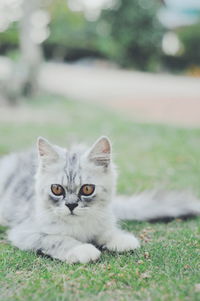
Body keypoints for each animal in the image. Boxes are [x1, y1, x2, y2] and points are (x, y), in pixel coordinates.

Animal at [0, 136, 199, 262]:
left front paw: (120, 239)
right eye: (56, 189)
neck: (79, 226)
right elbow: (56, 238)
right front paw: (81, 249)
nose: (71, 205)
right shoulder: (25, 232)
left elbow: (106, 231)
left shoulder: (102, 221)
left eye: (87, 189)